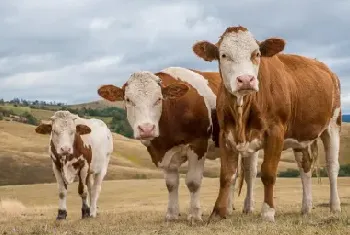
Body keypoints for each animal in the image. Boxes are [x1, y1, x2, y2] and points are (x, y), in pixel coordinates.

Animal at [191, 25, 342, 222]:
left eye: (257, 54)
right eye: (223, 55)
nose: (246, 80)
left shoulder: (275, 132)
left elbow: (268, 173)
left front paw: (268, 212)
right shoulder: (226, 134)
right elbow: (227, 174)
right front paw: (218, 213)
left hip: (333, 125)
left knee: (332, 166)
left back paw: (335, 206)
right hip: (301, 136)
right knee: (305, 167)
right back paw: (306, 207)